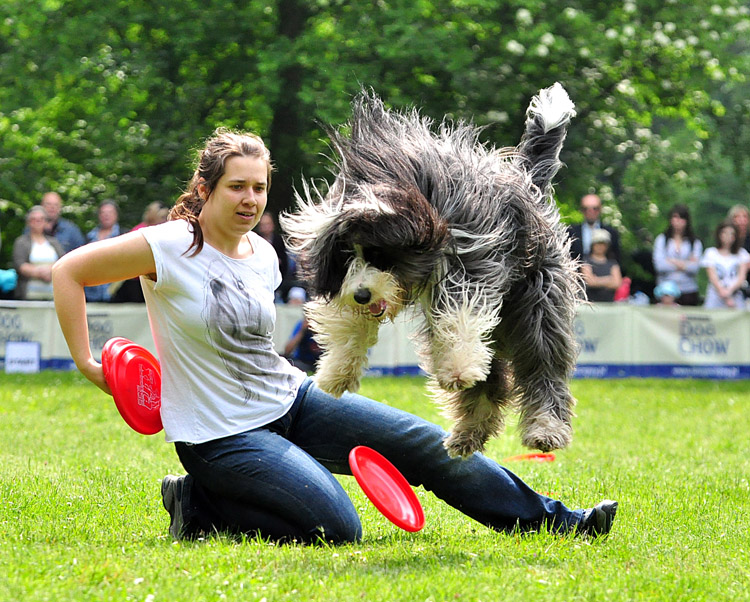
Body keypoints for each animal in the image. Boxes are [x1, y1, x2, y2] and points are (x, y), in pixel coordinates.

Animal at [280, 83, 580, 454]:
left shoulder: (473, 256)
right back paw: (468, 433)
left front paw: (458, 367)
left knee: (543, 363)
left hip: (537, 299)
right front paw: (336, 373)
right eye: (347, 256)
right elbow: (350, 323)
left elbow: (458, 311)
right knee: (492, 381)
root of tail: (529, 180)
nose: (362, 295)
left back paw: (545, 428)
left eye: (381, 255)